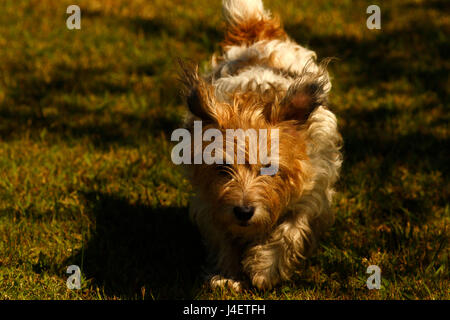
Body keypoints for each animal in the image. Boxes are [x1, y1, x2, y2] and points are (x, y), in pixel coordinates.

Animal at [176, 0, 342, 290]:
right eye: (222, 167)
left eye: (269, 168)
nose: (243, 211)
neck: (251, 105)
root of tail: (255, 29)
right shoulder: (210, 203)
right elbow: (222, 238)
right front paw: (228, 275)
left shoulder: (313, 191)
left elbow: (290, 229)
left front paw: (265, 268)